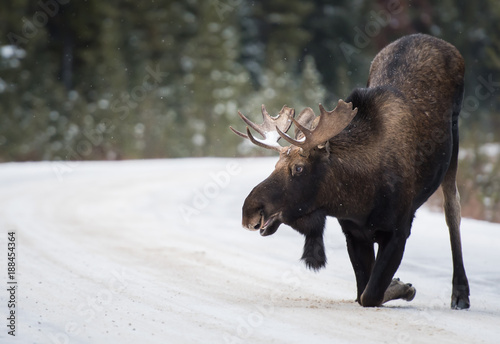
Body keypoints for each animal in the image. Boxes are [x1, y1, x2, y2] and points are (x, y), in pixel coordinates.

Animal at [232, 34, 470, 310]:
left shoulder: (399, 229)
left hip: (454, 138)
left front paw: (401, 286)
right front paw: (398, 284)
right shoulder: (354, 233)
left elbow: (370, 295)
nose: (249, 210)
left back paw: (460, 293)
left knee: (453, 209)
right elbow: (362, 292)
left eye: (299, 168)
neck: (357, 198)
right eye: (275, 166)